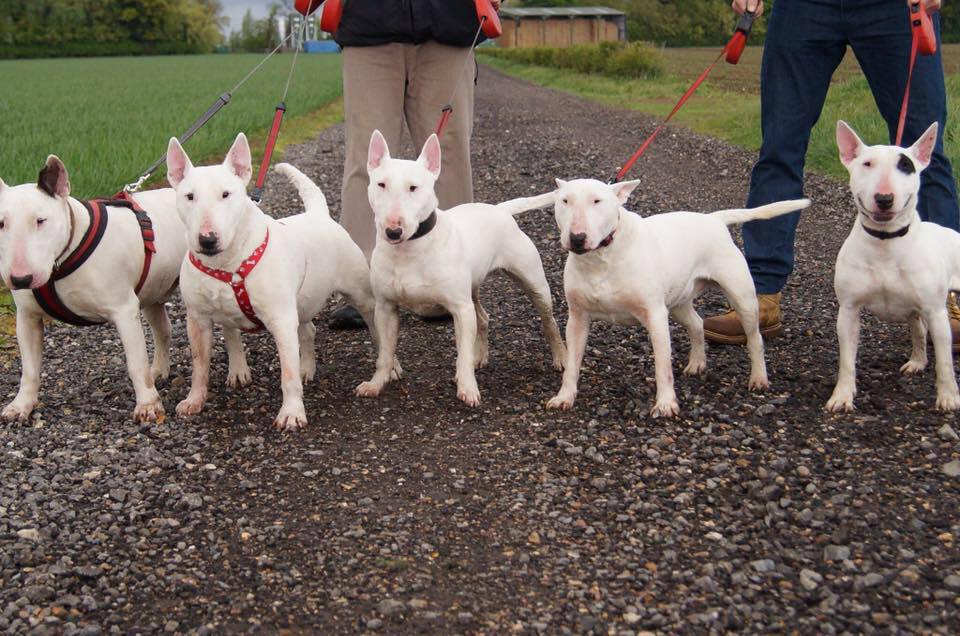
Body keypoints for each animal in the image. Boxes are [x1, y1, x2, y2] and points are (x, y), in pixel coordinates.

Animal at [0, 155, 186, 422]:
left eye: (40, 220)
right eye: (1, 223)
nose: (21, 279)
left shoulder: (124, 310)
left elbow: (136, 363)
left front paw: (148, 404)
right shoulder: (27, 317)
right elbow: (30, 368)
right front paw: (21, 404)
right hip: (154, 290)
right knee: (163, 330)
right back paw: (159, 370)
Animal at [167, 134, 388, 432]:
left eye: (226, 194)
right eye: (189, 196)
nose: (207, 240)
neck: (227, 263)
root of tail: (318, 214)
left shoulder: (281, 319)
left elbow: (288, 374)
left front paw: (292, 413)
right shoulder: (197, 320)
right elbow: (200, 364)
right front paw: (194, 400)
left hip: (360, 295)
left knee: (374, 325)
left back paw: (388, 366)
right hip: (303, 299)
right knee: (306, 331)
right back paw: (303, 368)